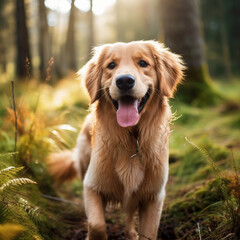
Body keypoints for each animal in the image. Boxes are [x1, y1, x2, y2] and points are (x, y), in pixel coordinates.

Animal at [48, 40, 184, 239]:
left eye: (143, 63)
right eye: (111, 65)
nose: (124, 81)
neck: (132, 139)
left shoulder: (154, 196)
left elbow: (148, 232)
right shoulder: (91, 186)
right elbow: (97, 224)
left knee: (129, 214)